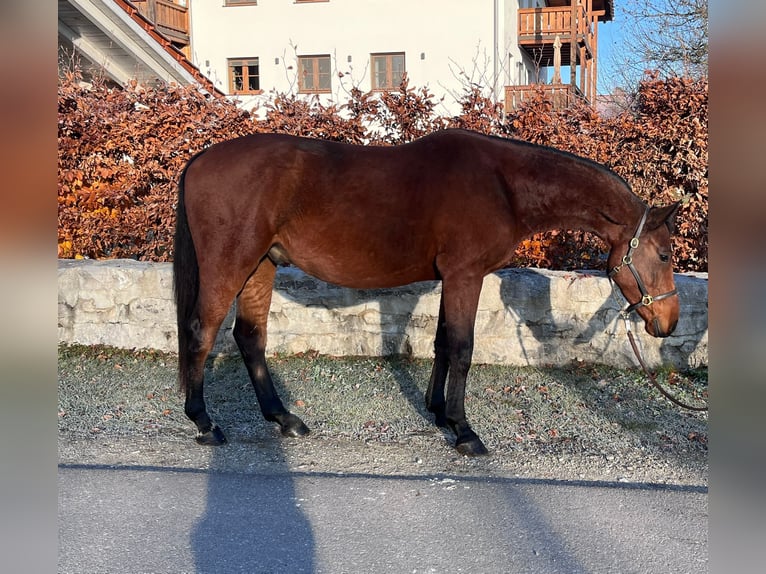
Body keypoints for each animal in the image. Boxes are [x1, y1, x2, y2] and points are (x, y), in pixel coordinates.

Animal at [173, 128, 680, 456]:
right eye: (664, 254)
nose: (668, 323)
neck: (504, 185)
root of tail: (198, 160)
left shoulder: (450, 279)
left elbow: (440, 343)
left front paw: (438, 412)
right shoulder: (465, 276)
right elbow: (461, 347)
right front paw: (464, 430)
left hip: (262, 265)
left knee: (250, 337)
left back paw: (285, 419)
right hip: (231, 264)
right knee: (201, 331)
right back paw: (205, 423)